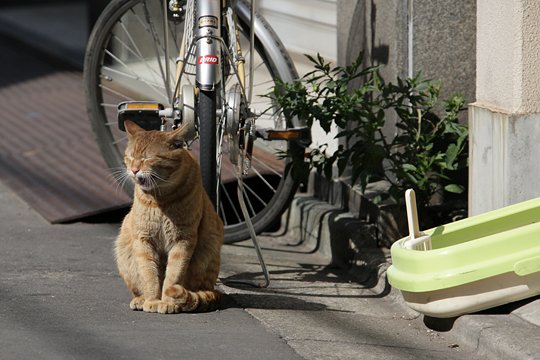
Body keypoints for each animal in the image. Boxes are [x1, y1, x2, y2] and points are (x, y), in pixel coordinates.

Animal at [114, 120, 224, 312]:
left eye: (147, 158)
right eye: (130, 157)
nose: (134, 170)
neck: (161, 199)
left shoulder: (183, 240)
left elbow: (173, 274)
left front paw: (167, 301)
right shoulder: (144, 240)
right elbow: (149, 275)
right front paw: (152, 300)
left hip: (209, 248)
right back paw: (141, 299)